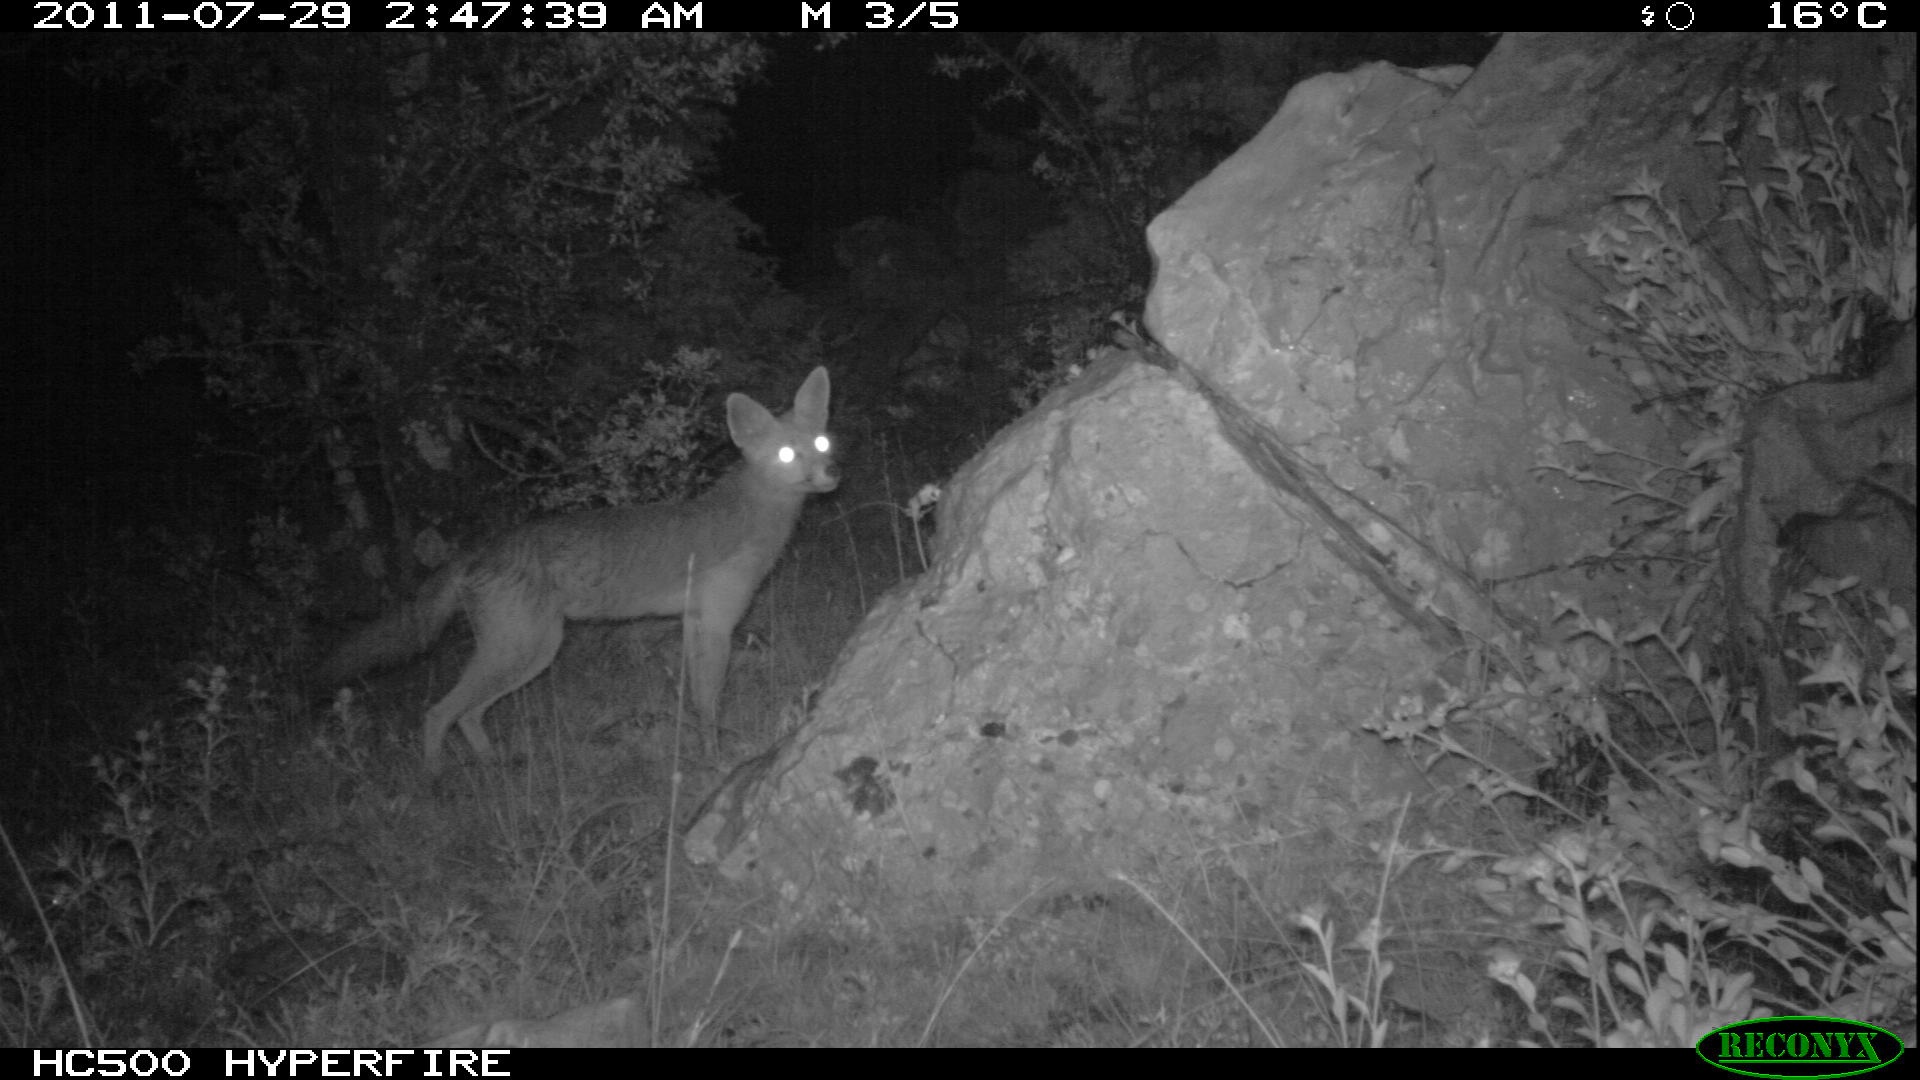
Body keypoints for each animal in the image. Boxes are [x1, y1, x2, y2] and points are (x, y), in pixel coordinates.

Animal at [316, 366, 838, 774]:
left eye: (821, 442)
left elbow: (695, 702)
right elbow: (709, 705)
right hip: (520, 651)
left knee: (466, 716)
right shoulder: (717, 626)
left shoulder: (694, 624)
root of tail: (482, 549)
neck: (750, 520)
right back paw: (435, 781)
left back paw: (493, 765)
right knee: (437, 713)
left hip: (531, 655)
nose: (830, 475)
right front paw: (714, 761)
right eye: (787, 454)